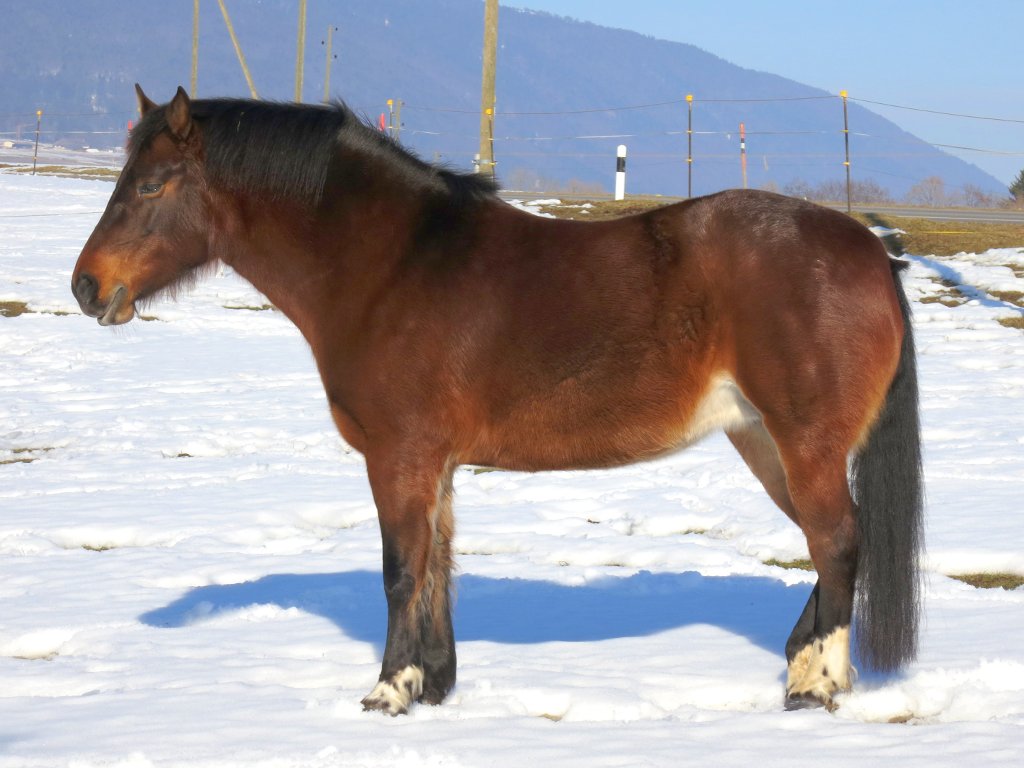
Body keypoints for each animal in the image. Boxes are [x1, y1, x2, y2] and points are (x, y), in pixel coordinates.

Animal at [72, 85, 923, 715]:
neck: (395, 266)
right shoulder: (435, 464)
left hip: (802, 444)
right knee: (827, 544)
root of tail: (870, 252)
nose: (87, 286)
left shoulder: (399, 456)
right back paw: (803, 666)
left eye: (150, 184)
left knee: (837, 543)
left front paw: (388, 692)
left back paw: (817, 683)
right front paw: (434, 685)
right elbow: (437, 566)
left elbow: (400, 571)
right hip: (763, 442)